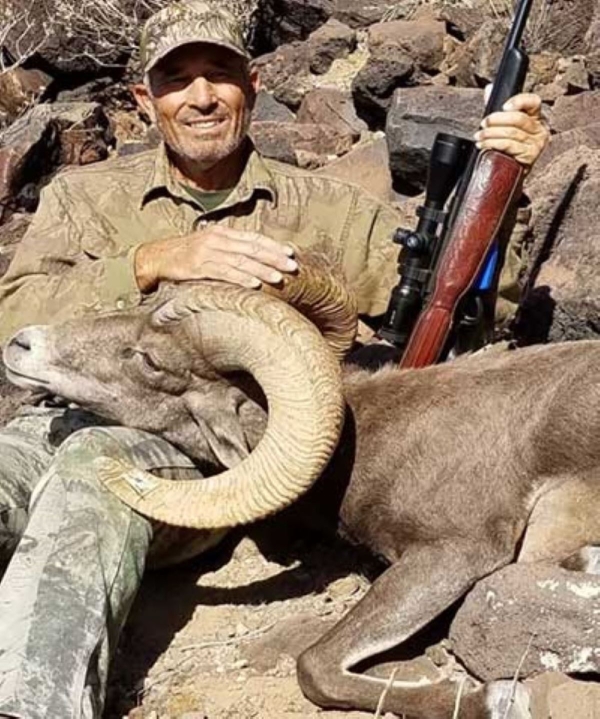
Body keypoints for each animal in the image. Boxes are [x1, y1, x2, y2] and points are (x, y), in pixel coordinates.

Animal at [3, 255, 600, 719]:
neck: (373, 442)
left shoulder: (454, 553)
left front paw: (494, 700)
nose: (22, 344)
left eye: (149, 359)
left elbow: (314, 665)